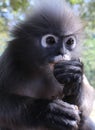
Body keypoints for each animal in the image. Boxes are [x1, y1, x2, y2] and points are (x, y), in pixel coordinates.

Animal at [0, 0, 94, 129]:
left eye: (70, 42)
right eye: (50, 40)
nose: (62, 52)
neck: (41, 69)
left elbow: (86, 107)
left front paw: (74, 74)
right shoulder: (10, 58)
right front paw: (49, 111)